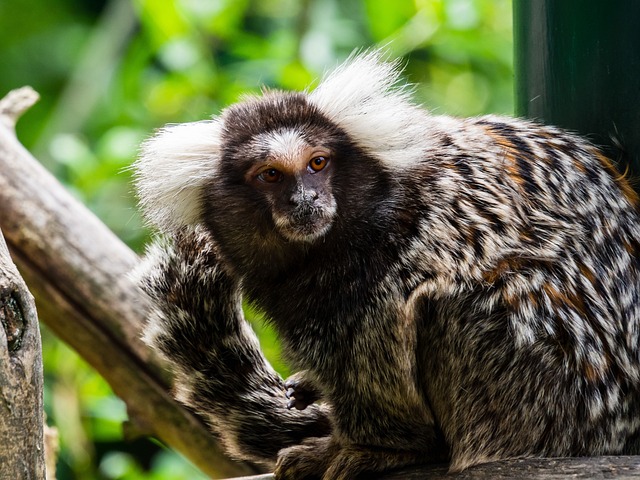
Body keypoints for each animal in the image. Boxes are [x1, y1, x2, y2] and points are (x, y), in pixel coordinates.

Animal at [132, 52, 640, 480]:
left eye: (318, 163)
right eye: (270, 175)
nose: (305, 201)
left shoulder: (396, 256)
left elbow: (379, 349)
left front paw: (376, 450)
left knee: (458, 306)